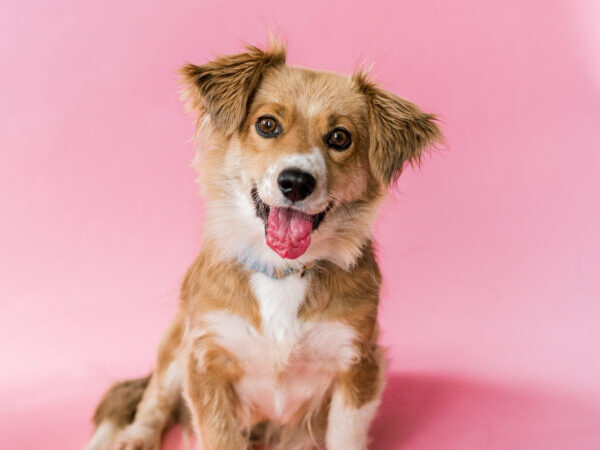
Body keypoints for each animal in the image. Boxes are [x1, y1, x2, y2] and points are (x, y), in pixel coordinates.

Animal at [84, 39, 440, 450]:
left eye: (340, 137)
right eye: (267, 124)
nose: (296, 182)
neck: (282, 272)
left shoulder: (357, 363)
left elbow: (345, 436)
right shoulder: (206, 358)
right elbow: (216, 433)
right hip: (176, 343)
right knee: (153, 397)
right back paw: (135, 436)